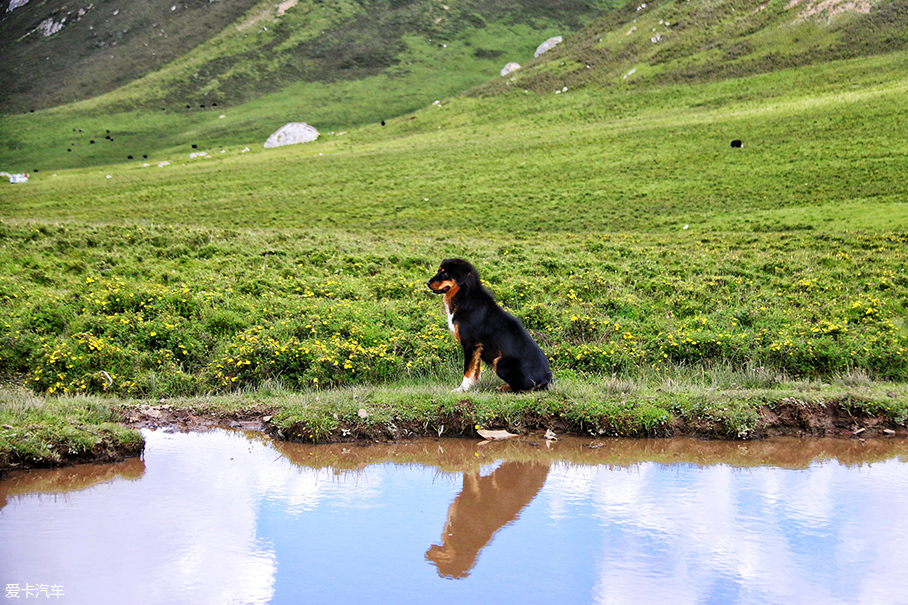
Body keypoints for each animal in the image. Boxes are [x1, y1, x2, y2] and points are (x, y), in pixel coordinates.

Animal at [428, 258, 552, 392]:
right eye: (439, 271)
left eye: (446, 274)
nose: (427, 283)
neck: (465, 296)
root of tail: (546, 379)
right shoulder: (478, 348)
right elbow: (475, 370)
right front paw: (474, 386)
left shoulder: (470, 344)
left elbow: (467, 371)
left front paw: (462, 389)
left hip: (500, 362)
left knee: (520, 388)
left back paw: (503, 387)